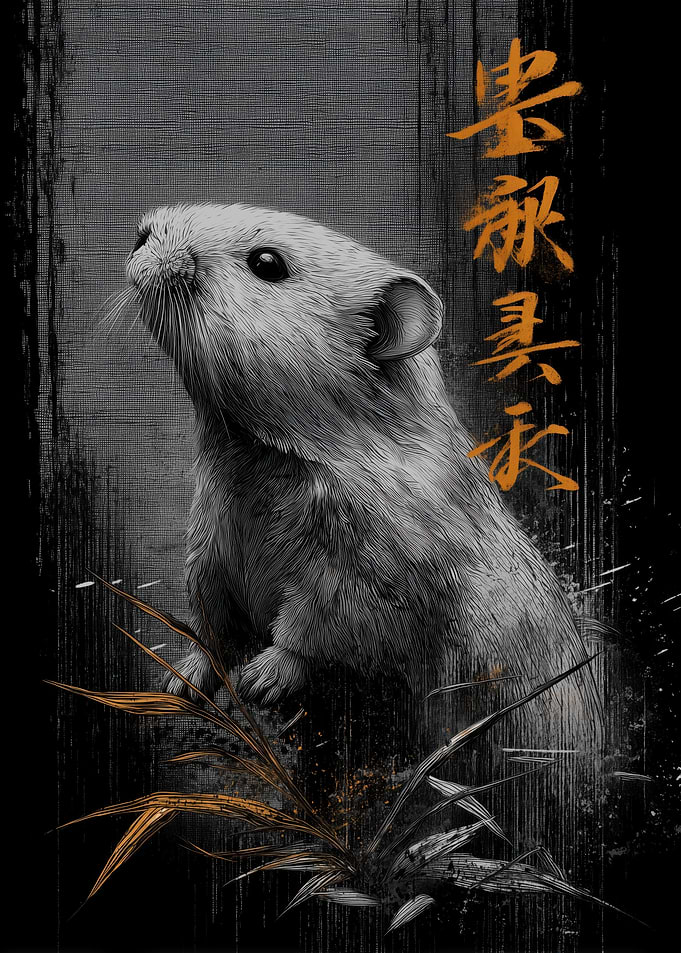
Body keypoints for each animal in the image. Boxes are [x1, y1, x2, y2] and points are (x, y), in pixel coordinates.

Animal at [125, 202, 600, 749]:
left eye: (267, 263)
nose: (141, 232)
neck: (265, 451)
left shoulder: (366, 573)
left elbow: (312, 630)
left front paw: (260, 682)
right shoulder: (210, 543)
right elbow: (212, 627)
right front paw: (177, 684)